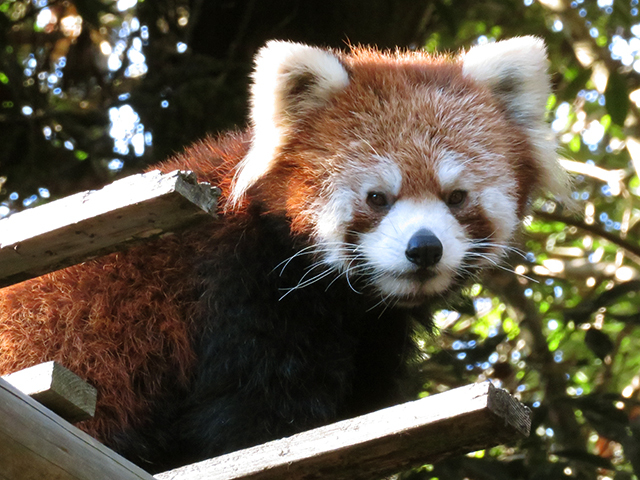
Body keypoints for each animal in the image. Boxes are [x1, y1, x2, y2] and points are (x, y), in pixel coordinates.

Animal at [0, 38, 568, 472]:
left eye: (456, 197)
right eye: (377, 197)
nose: (424, 248)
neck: (345, 302)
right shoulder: (238, 290)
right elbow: (256, 418)